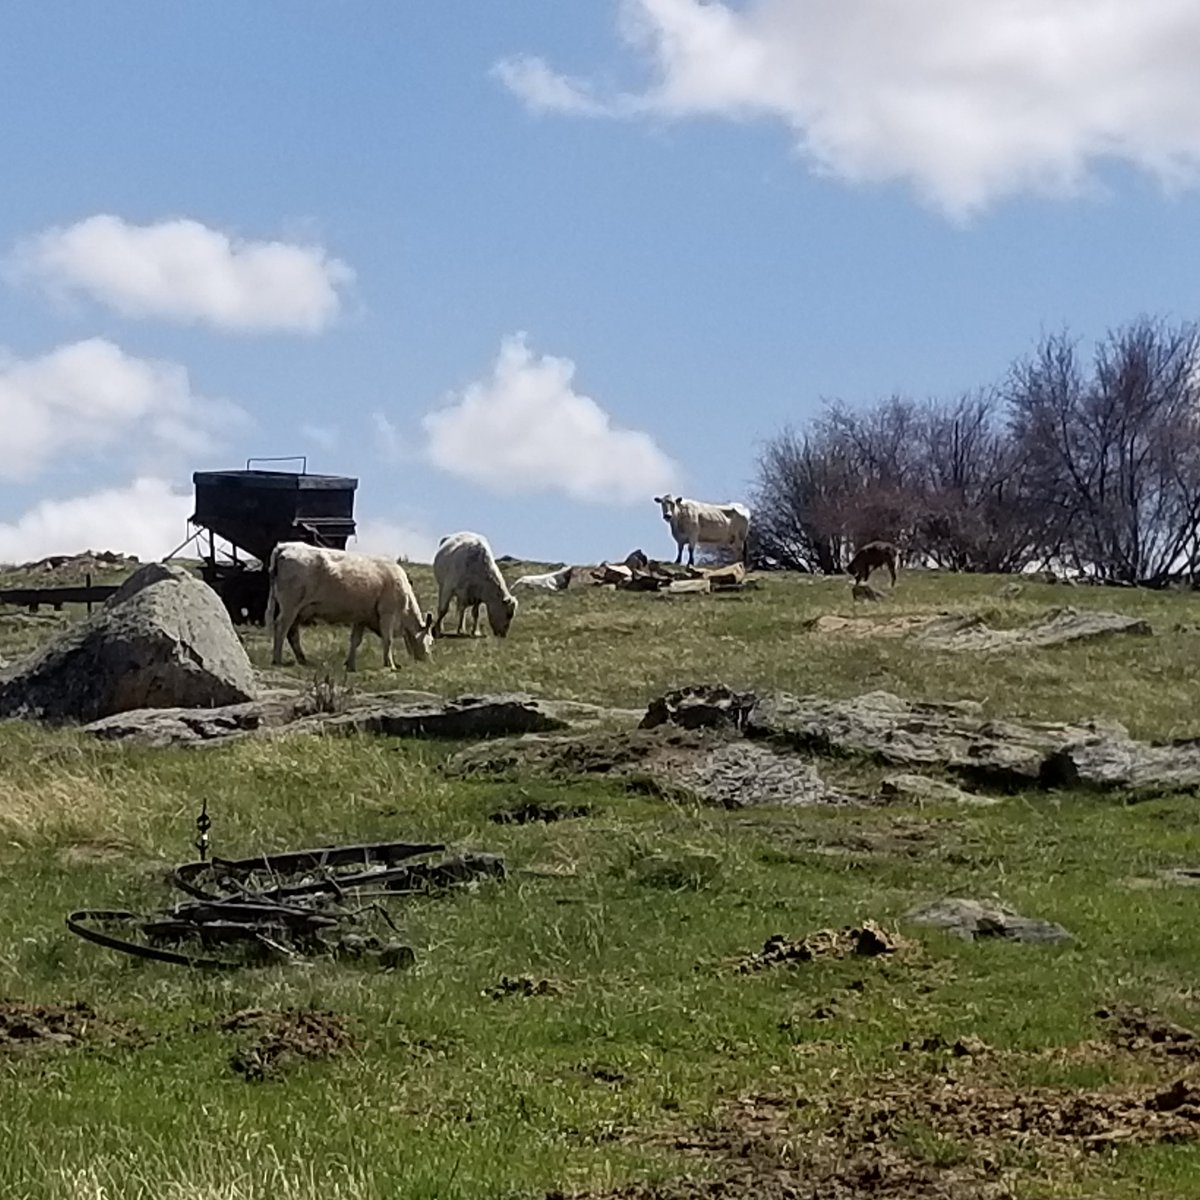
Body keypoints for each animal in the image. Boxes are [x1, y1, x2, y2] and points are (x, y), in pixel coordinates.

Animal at [266, 542, 435, 671]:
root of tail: (285, 546)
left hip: (299, 610)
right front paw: (390, 665)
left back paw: (302, 660)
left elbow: (355, 640)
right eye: (431, 641)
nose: (429, 661)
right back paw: (277, 659)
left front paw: (350, 665)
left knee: (292, 633)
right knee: (281, 627)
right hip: (290, 605)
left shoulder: (362, 617)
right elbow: (388, 639)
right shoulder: (387, 613)